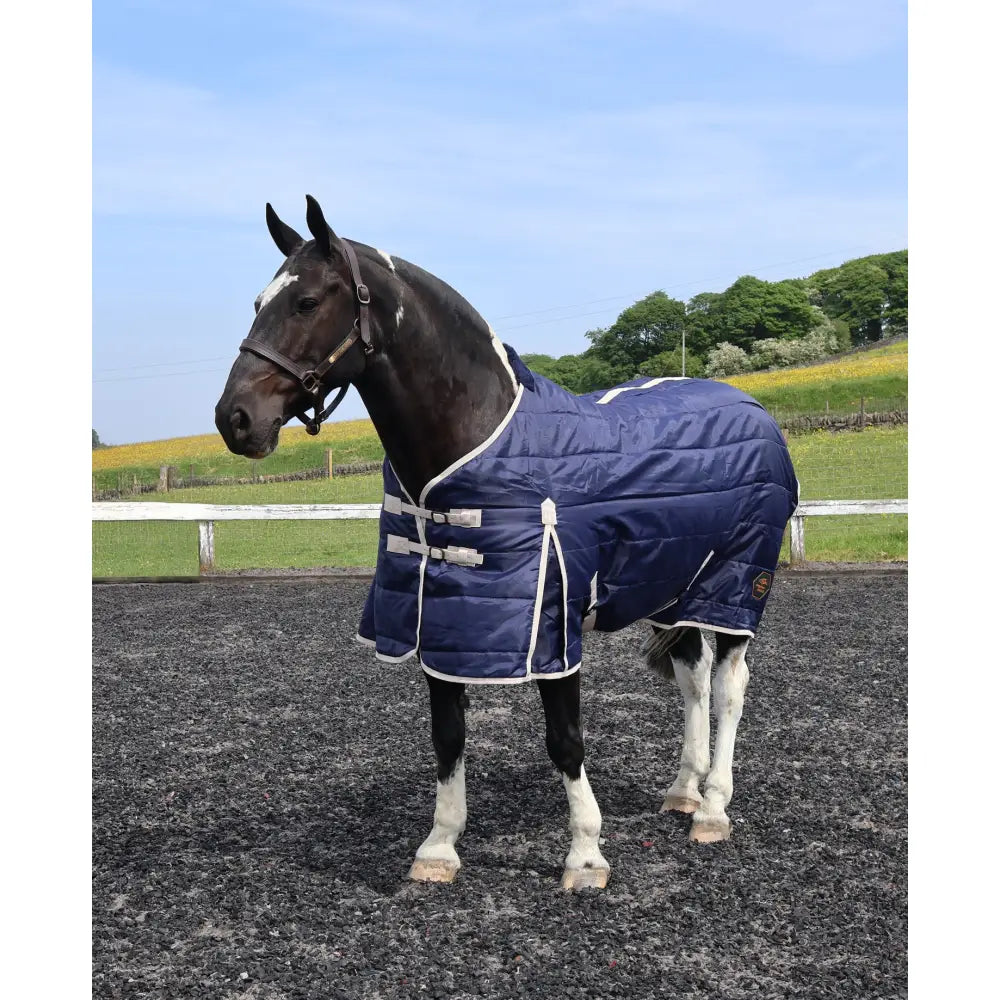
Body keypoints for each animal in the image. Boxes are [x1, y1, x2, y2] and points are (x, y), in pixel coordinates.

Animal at [215, 195, 798, 891]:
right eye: (257, 302)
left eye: (306, 302)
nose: (234, 419)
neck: (476, 442)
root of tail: (750, 405)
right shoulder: (442, 622)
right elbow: (448, 735)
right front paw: (439, 847)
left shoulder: (551, 625)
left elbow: (565, 739)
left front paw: (586, 854)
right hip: (674, 588)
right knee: (694, 680)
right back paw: (684, 790)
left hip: (737, 585)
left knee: (730, 687)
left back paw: (711, 808)